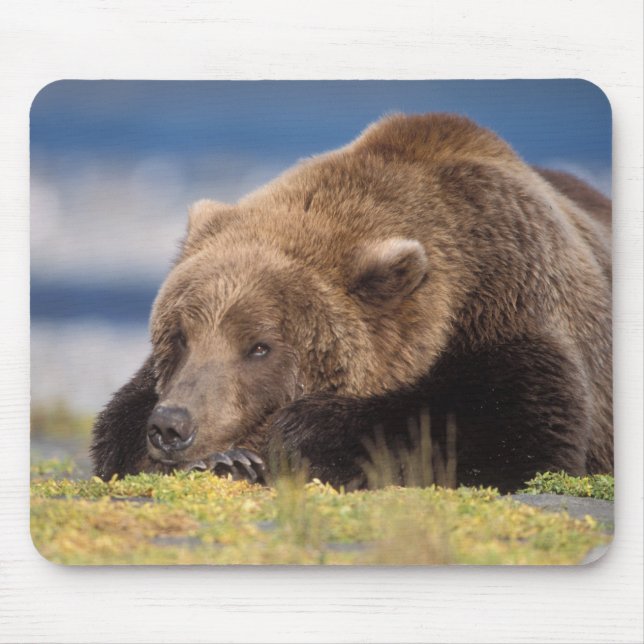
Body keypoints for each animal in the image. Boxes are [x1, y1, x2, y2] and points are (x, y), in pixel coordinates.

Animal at [90, 113, 612, 493]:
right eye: (179, 337)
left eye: (259, 346)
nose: (173, 425)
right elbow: (116, 428)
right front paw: (225, 457)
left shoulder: (512, 303)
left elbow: (513, 428)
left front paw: (289, 439)